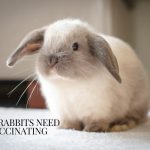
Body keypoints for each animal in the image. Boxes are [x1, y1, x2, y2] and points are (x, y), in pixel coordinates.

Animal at [6, 18, 149, 131]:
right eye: (44, 45)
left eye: (75, 46)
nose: (52, 60)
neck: (68, 83)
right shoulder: (64, 111)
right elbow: (70, 122)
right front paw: (67, 128)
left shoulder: (98, 109)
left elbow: (97, 120)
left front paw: (93, 129)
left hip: (137, 102)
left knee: (136, 117)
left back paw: (121, 124)